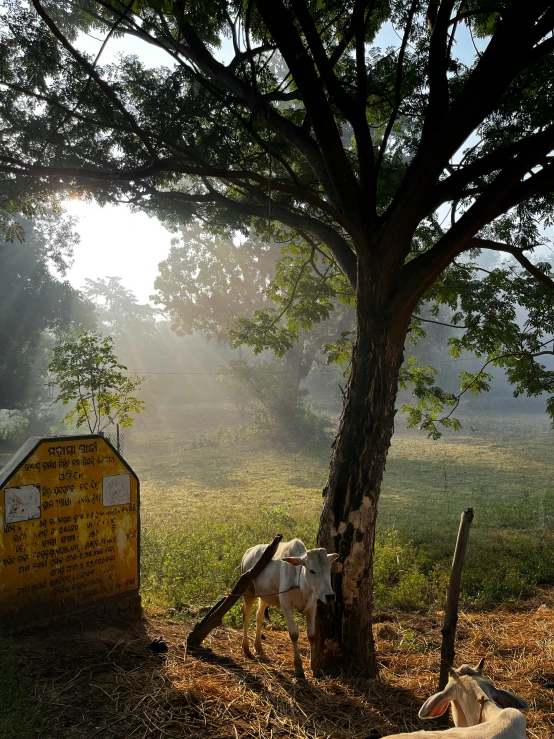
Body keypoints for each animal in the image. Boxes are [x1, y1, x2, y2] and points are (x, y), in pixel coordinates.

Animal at [240, 536, 336, 680]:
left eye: (329, 569)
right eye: (312, 570)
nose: (330, 596)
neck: (299, 580)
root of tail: (248, 552)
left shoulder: (312, 605)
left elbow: (312, 635)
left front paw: (316, 668)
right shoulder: (286, 604)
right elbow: (294, 634)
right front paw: (298, 668)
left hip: (264, 596)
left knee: (259, 615)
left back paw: (258, 645)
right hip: (248, 592)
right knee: (246, 617)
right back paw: (246, 648)